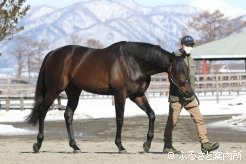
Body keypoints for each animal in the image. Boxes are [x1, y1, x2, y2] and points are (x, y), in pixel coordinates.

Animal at [26, 40, 193, 152]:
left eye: (187, 69)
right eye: (178, 71)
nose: (190, 93)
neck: (133, 63)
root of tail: (52, 54)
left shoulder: (137, 95)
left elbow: (151, 115)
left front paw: (147, 144)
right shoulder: (120, 95)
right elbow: (120, 119)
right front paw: (120, 146)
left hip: (73, 92)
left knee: (68, 115)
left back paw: (75, 146)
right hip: (54, 90)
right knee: (42, 111)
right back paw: (37, 144)